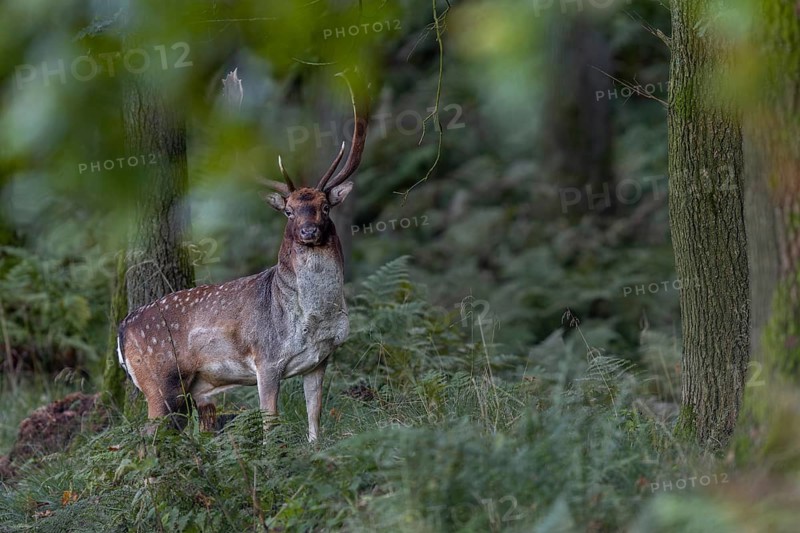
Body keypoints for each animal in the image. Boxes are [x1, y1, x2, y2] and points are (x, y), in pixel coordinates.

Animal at [116, 72, 368, 442]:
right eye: (289, 211)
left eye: (324, 206)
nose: (308, 231)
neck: (313, 319)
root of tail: (121, 331)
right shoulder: (266, 359)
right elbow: (269, 424)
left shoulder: (320, 360)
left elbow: (315, 418)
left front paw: (315, 448)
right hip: (160, 382)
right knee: (147, 440)